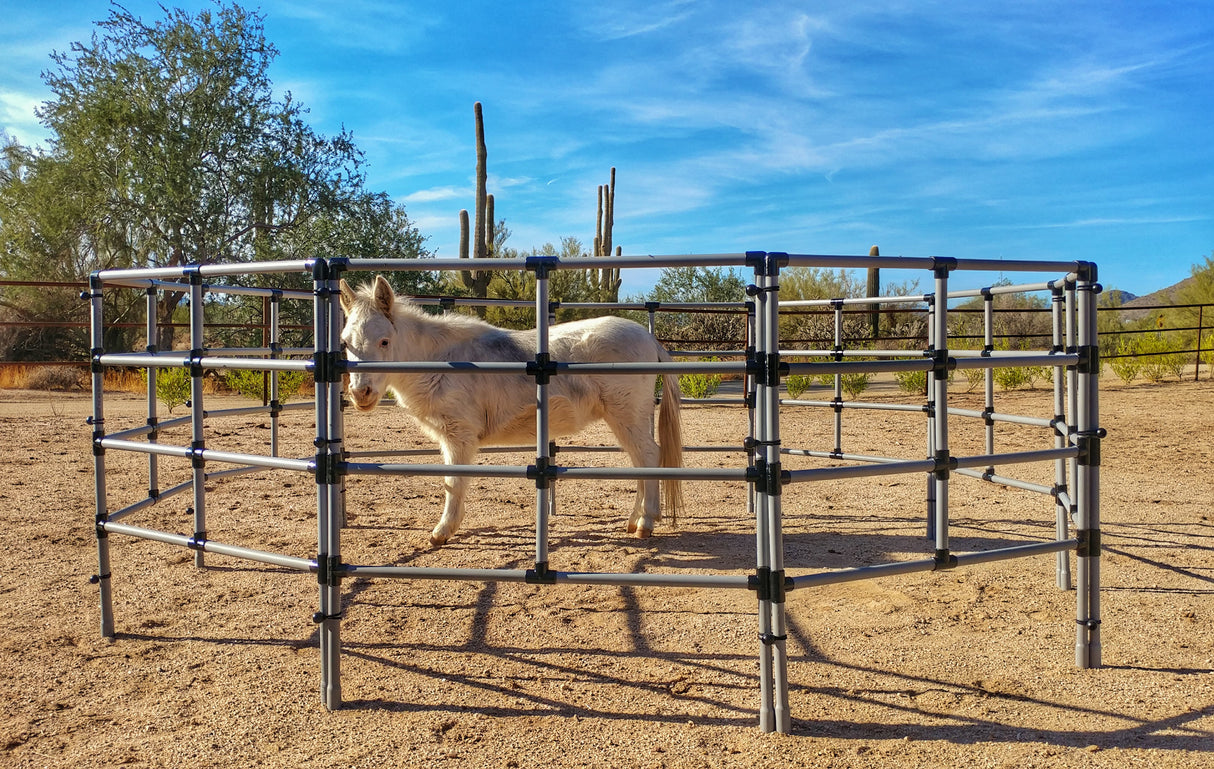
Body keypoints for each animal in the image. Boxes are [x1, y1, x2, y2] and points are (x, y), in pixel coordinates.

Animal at [342, 275, 684, 546]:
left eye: (384, 341)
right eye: (345, 342)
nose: (360, 394)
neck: (441, 360)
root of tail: (649, 339)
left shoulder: (459, 435)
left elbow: (454, 481)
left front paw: (442, 532)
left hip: (627, 415)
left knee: (649, 456)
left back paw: (645, 524)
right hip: (624, 420)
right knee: (640, 461)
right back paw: (634, 520)